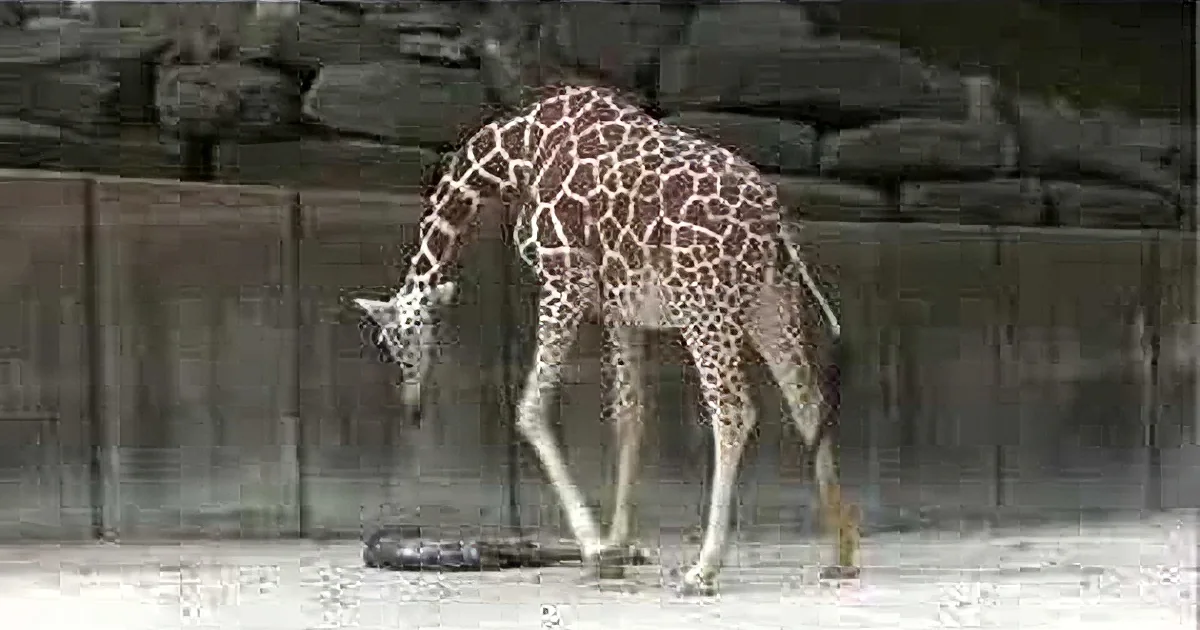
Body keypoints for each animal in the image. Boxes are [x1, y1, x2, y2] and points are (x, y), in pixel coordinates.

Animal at [352, 84, 859, 595]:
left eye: (391, 343)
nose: (412, 408)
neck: (517, 151)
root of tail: (776, 224)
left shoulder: (563, 278)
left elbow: (531, 409)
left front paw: (596, 550)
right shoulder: (621, 308)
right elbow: (628, 416)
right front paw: (618, 545)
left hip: (703, 306)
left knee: (734, 411)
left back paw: (702, 570)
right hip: (771, 302)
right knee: (808, 400)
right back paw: (841, 555)